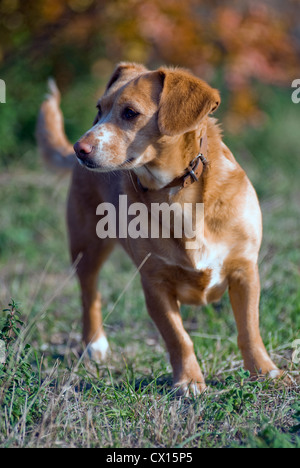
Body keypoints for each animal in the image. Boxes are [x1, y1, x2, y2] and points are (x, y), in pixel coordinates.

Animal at [36, 62, 280, 394]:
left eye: (130, 113)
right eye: (99, 110)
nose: (79, 148)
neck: (175, 193)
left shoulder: (245, 272)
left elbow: (249, 329)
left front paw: (263, 371)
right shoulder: (154, 284)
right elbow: (178, 338)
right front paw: (189, 381)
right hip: (86, 247)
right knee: (90, 296)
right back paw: (94, 345)